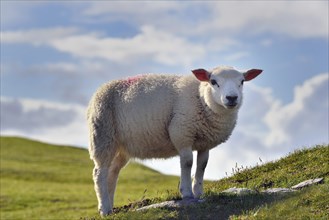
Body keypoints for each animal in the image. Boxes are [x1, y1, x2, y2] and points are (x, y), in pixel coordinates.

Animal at [86, 66, 262, 216]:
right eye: (213, 81)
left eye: (242, 81)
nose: (232, 98)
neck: (201, 98)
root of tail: (99, 90)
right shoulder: (182, 133)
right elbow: (188, 162)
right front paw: (187, 193)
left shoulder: (205, 142)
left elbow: (202, 165)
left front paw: (199, 192)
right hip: (102, 135)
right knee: (99, 173)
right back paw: (105, 209)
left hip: (121, 147)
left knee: (112, 172)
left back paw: (109, 207)